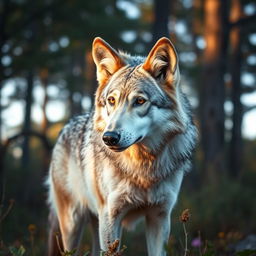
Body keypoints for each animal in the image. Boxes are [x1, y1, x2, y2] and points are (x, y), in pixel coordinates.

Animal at [46, 36, 198, 256]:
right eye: (112, 100)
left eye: (140, 101)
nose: (109, 138)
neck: (143, 167)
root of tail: (65, 126)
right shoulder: (111, 216)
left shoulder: (160, 217)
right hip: (74, 226)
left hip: (96, 224)